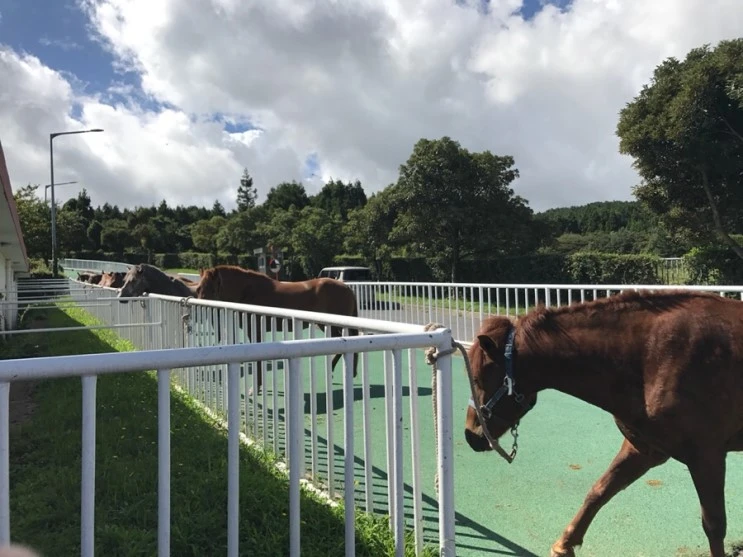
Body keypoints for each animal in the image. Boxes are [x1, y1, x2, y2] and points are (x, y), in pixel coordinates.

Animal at [196, 265, 360, 394]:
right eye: (198, 288)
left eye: (211, 289)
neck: (248, 292)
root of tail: (347, 288)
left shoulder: (255, 330)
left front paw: (255, 388)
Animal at [463, 289, 743, 557]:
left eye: (477, 378)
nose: (471, 435)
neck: (654, 356)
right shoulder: (645, 448)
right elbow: (599, 490)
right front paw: (564, 545)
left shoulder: (706, 456)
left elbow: (714, 525)